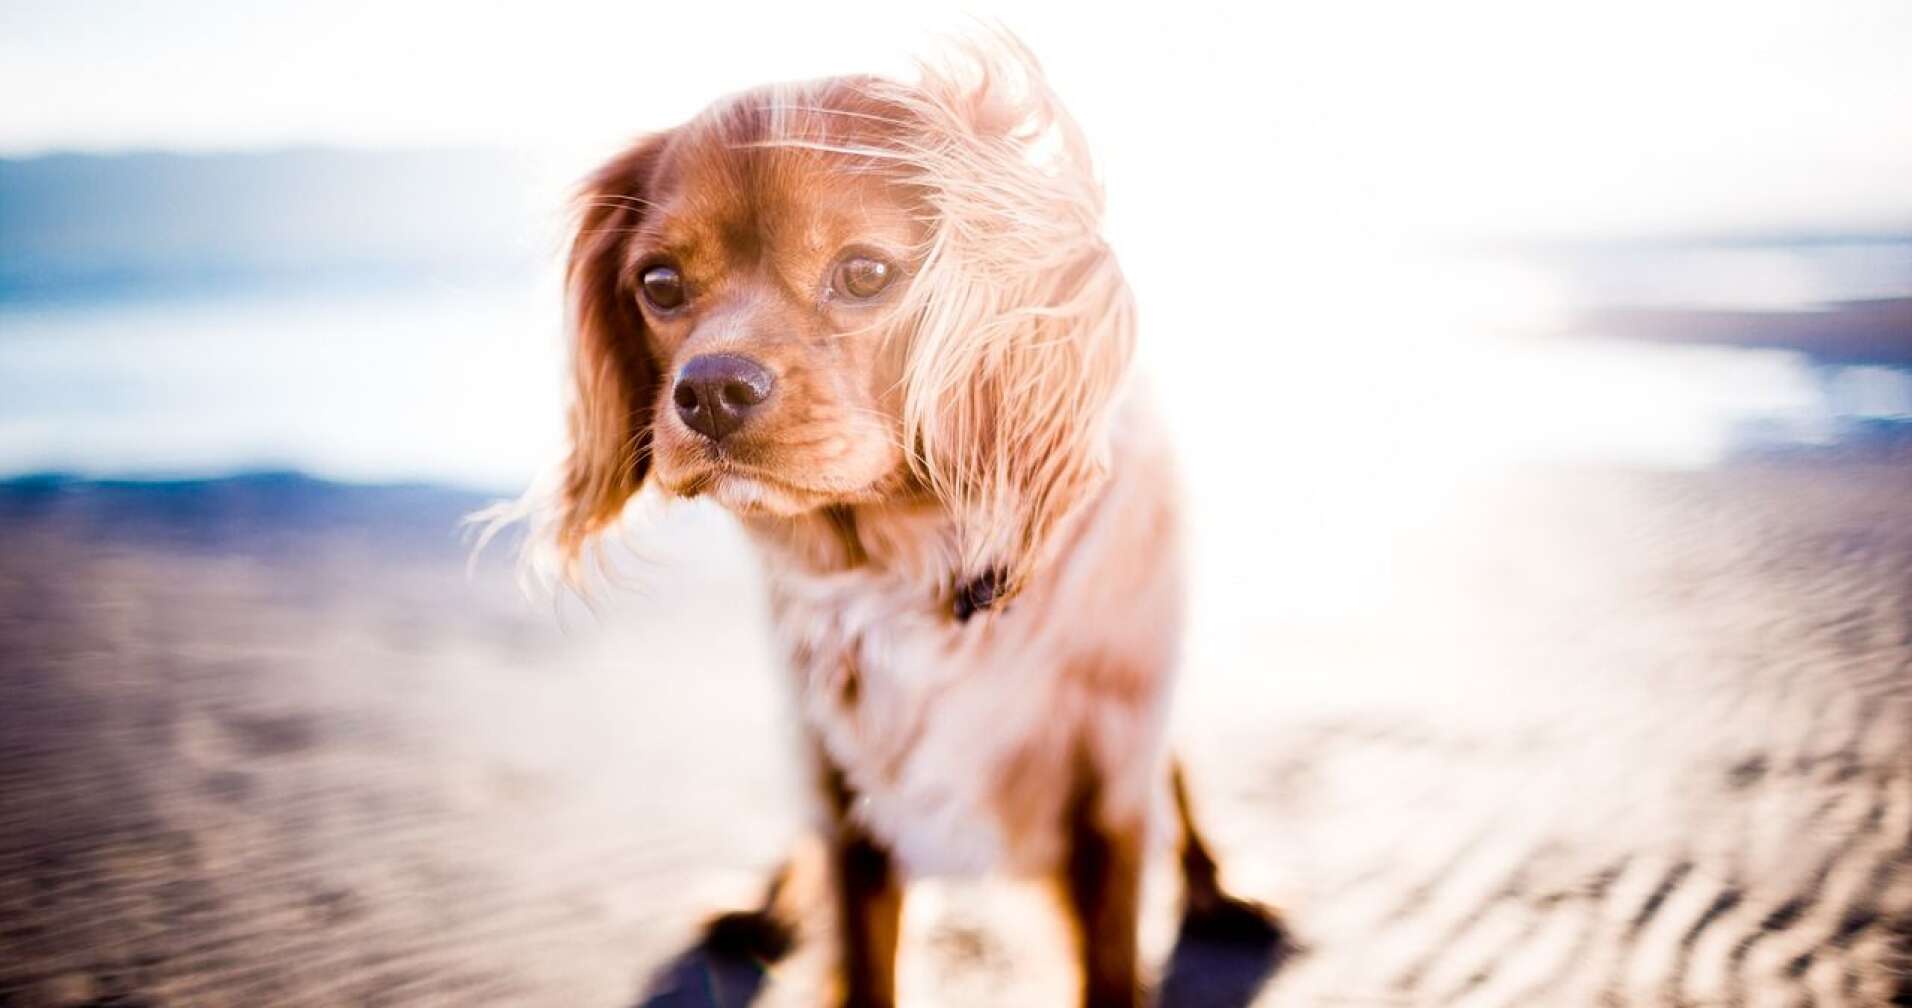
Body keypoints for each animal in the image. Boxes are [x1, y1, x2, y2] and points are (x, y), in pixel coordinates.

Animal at [531, 37, 1277, 1008]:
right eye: (659, 283)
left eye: (866, 273)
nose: (708, 392)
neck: (911, 565)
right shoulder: (847, 802)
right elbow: (858, 948)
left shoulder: (1109, 794)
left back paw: (1222, 891)